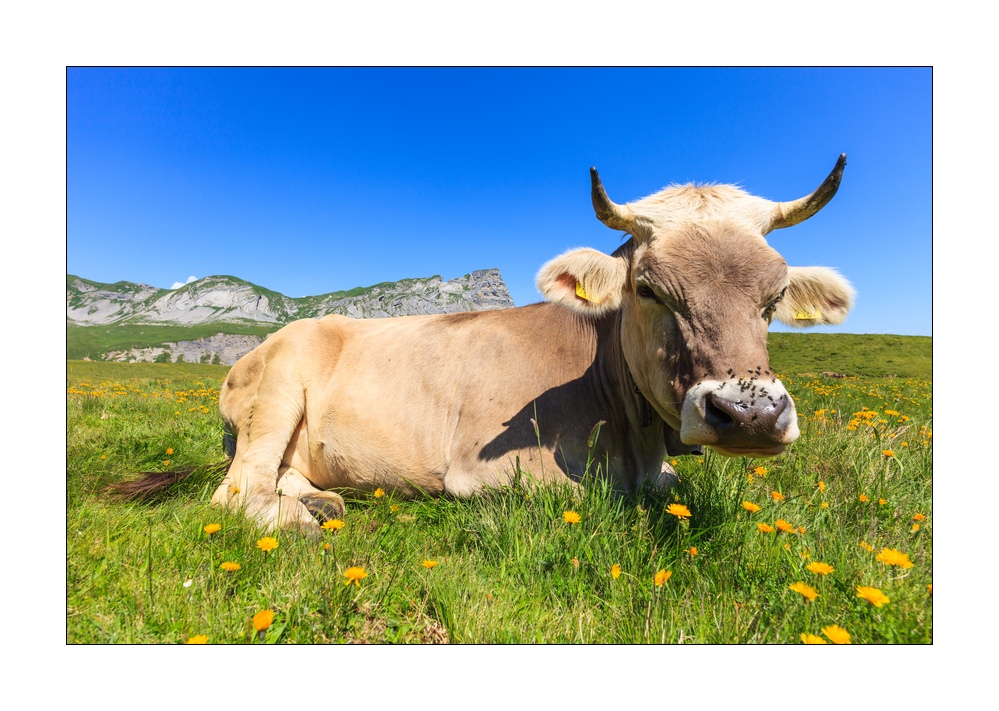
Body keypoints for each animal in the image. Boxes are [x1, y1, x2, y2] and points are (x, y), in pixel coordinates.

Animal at [148, 156, 856, 532]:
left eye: (774, 297)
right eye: (649, 289)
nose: (750, 413)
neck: (632, 437)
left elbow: (666, 485)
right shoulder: (484, 470)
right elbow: (589, 496)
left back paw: (320, 499)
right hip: (276, 392)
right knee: (236, 491)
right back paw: (299, 520)